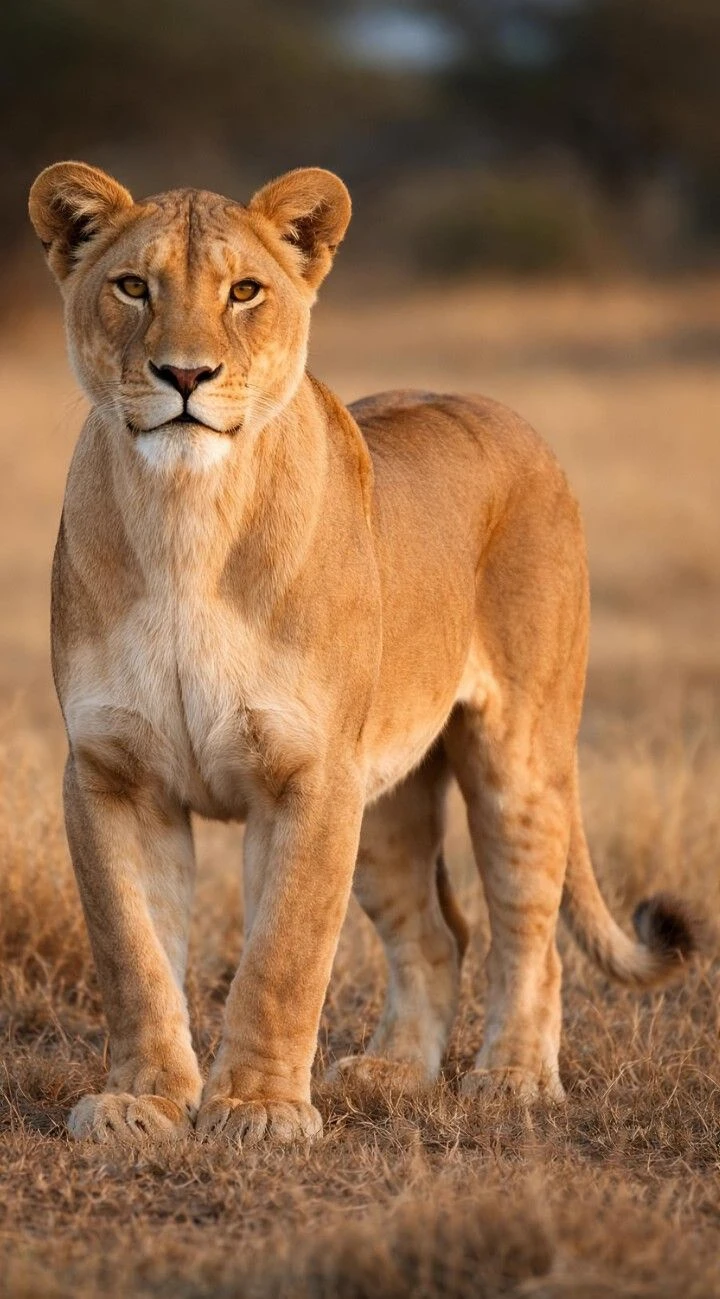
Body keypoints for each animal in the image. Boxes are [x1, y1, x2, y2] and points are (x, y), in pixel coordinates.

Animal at [28, 161, 696, 1146]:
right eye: (132, 286)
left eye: (244, 291)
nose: (184, 373)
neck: (185, 517)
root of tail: (512, 417)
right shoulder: (114, 772)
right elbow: (134, 950)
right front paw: (141, 1101)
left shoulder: (310, 774)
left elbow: (284, 953)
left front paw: (259, 1110)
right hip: (384, 799)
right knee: (437, 933)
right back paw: (391, 1074)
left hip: (516, 757)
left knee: (527, 931)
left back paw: (513, 1078)